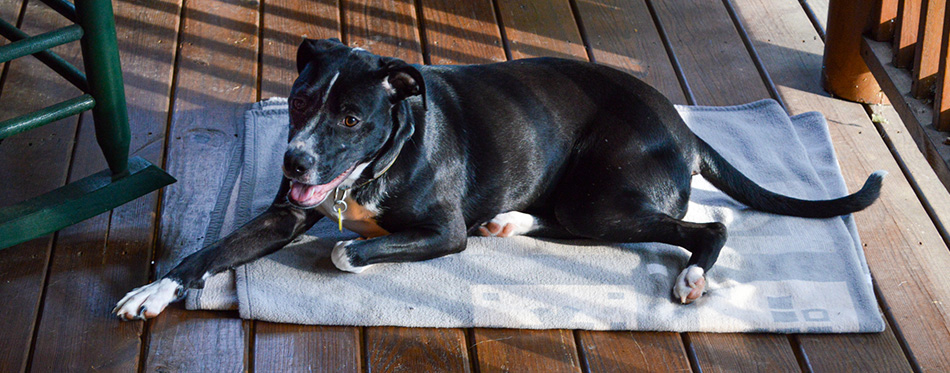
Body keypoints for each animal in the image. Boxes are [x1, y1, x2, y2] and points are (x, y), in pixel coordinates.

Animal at [113, 38, 884, 320]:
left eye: (352, 117)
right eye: (300, 102)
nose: (294, 160)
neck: (379, 160)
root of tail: (685, 126)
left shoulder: (443, 233)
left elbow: (345, 250)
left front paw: (350, 249)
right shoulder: (285, 212)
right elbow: (210, 252)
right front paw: (157, 289)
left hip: (605, 197)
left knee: (707, 225)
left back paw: (693, 275)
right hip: (587, 200)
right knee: (571, 223)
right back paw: (512, 218)